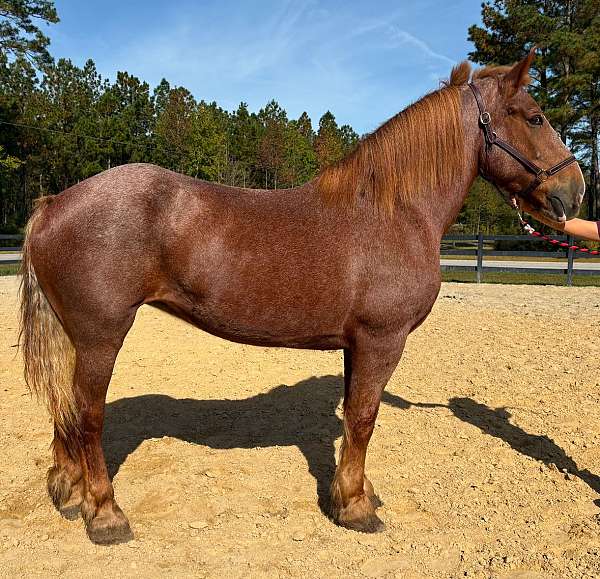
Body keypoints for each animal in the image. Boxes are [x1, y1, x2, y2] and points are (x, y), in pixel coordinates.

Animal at [21, 49, 584, 544]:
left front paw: (356, 493)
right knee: (89, 416)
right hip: (101, 336)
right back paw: (105, 514)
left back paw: (68, 492)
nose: (574, 192)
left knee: (66, 410)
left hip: (76, 337)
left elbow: (355, 416)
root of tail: (54, 204)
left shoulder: (357, 345)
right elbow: (364, 418)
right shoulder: (382, 340)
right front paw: (355, 508)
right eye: (535, 117)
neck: (393, 211)